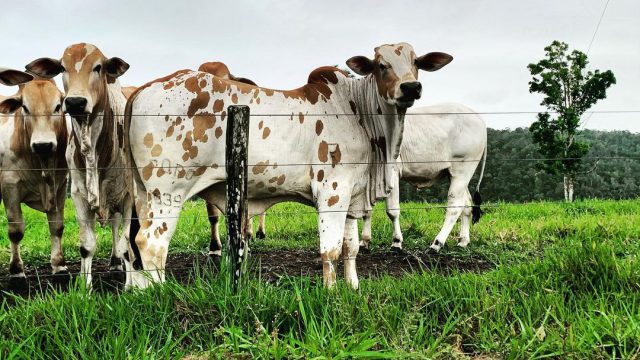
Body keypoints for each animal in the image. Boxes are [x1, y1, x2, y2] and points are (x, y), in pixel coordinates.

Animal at [25, 43, 134, 286]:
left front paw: (133, 286)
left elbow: (127, 245)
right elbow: (87, 245)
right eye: (62, 67)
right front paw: (85, 287)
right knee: (113, 226)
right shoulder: (78, 193)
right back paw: (114, 263)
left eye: (98, 67)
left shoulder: (128, 196)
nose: (75, 102)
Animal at [125, 43, 452, 290]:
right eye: (382, 65)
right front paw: (331, 292)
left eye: (416, 63)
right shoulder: (332, 192)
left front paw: (353, 287)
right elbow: (330, 249)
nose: (410, 87)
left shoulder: (353, 197)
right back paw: (159, 294)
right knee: (151, 244)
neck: (358, 111)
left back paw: (138, 292)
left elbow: (351, 248)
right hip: (168, 193)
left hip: (140, 195)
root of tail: (143, 89)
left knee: (131, 244)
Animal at [358, 102, 488, 252]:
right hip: (454, 174)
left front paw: (396, 242)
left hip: (463, 170)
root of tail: (479, 119)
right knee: (466, 204)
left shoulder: (393, 172)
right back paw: (463, 241)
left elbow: (392, 211)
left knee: (455, 206)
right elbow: (366, 210)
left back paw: (437, 244)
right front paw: (364, 241)